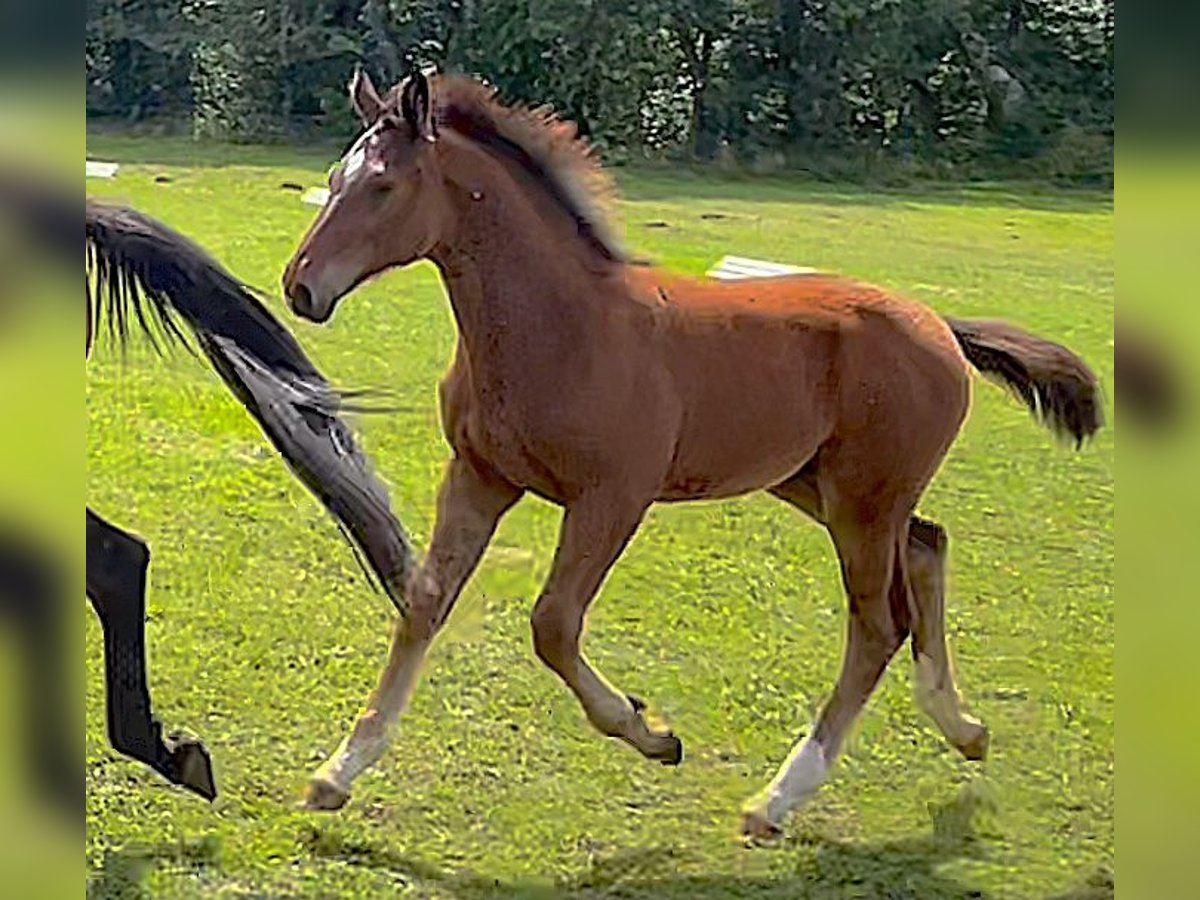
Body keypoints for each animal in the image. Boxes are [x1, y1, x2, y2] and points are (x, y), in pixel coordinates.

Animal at [278, 72, 1099, 840]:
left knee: (876, 625)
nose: (300, 287)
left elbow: (552, 624)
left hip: (862, 503)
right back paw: (964, 728)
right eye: (337, 175)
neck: (561, 326)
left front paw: (651, 731)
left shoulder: (614, 496)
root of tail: (940, 324)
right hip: (815, 484)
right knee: (928, 546)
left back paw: (778, 799)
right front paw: (337, 772)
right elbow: (423, 603)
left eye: (384, 185)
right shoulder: (480, 476)